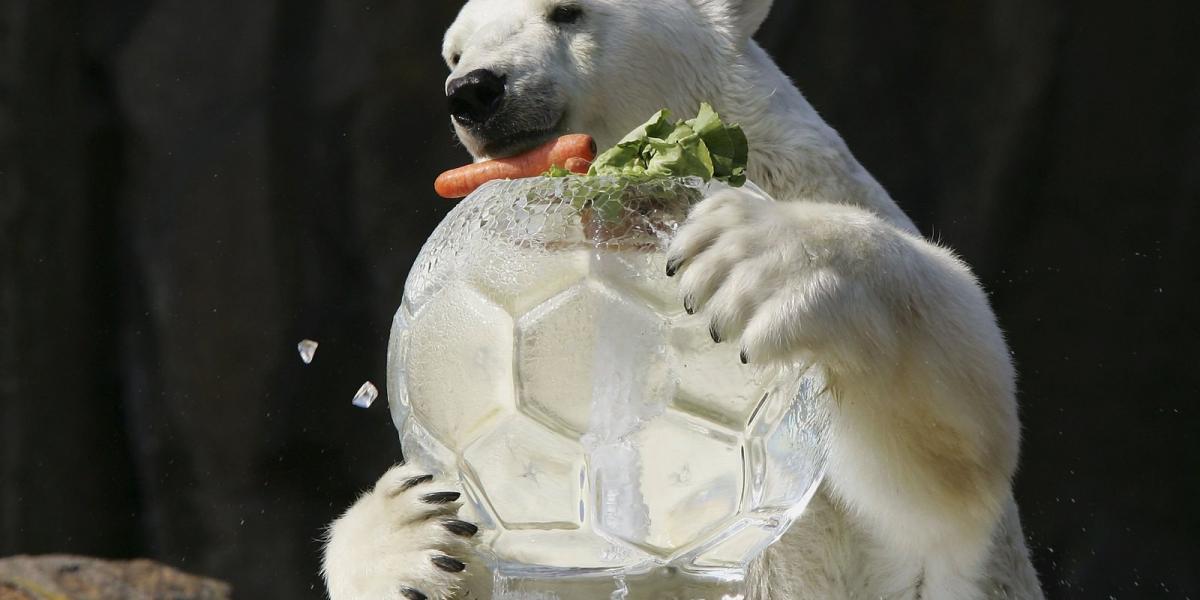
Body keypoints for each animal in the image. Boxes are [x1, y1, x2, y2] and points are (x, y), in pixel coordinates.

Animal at [324, 1, 1046, 600]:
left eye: (566, 10)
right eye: (454, 51)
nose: (474, 89)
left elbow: (944, 481)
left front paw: (750, 256)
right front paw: (408, 533)